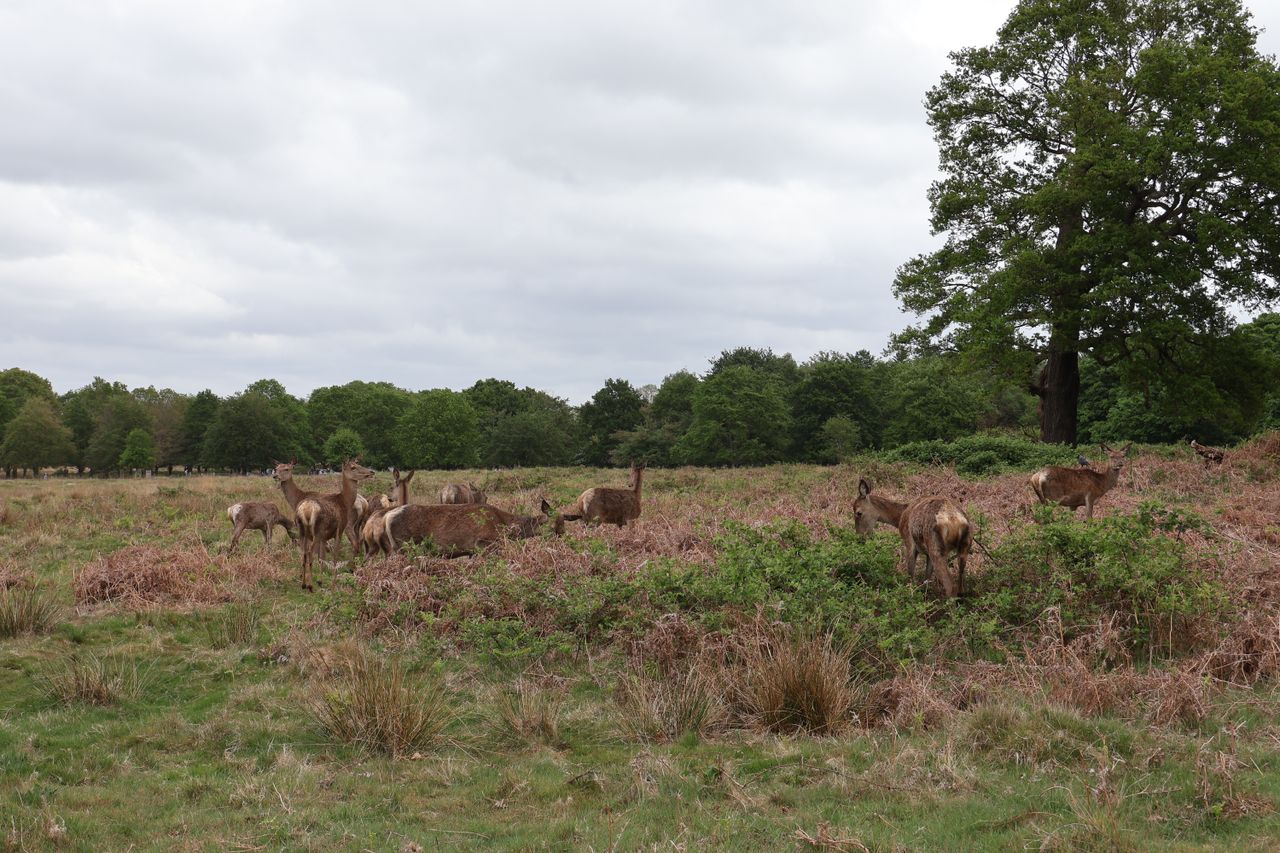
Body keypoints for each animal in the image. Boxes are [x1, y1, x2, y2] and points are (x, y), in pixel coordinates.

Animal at [293, 458, 375, 591]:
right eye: (353, 467)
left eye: (359, 464)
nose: (372, 472)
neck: (344, 502)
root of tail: (305, 510)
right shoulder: (339, 530)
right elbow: (335, 554)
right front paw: (333, 583)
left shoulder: (324, 537)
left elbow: (322, 557)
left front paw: (321, 581)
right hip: (317, 530)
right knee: (310, 552)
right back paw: (310, 585)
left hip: (302, 530)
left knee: (303, 553)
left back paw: (303, 584)